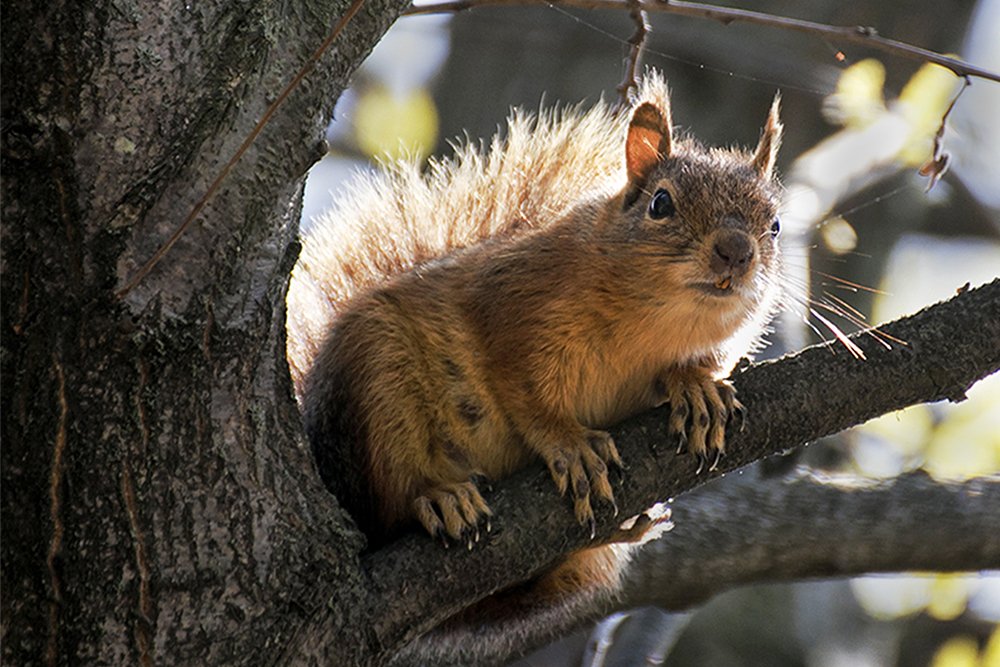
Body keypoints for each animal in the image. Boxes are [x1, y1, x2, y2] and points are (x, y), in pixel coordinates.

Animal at [286, 70, 784, 655]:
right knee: (385, 508)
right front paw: (567, 442)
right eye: (660, 204)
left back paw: (623, 527)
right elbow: (521, 389)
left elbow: (692, 369)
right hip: (379, 386)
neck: (652, 328)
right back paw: (440, 497)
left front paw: (695, 386)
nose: (736, 251)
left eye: (775, 225)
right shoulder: (507, 304)